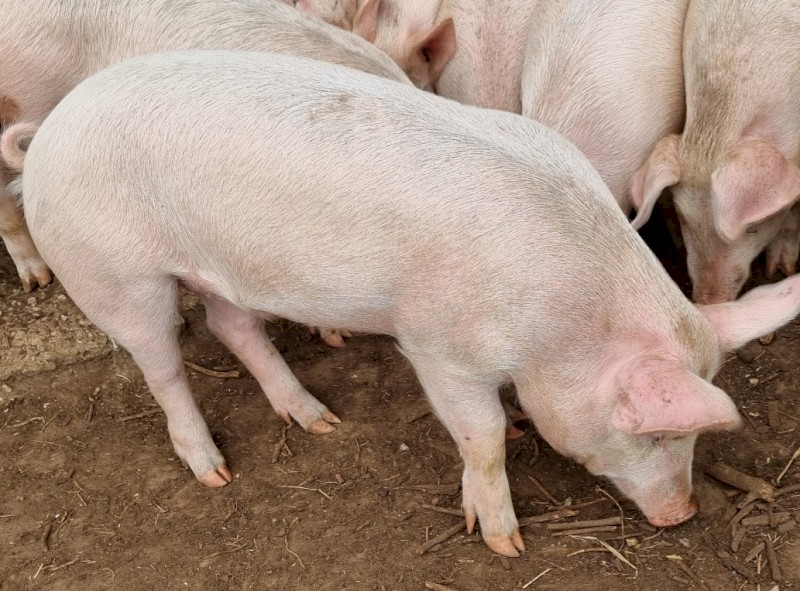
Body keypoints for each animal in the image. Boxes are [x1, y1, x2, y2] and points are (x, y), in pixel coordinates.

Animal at [19, 50, 800, 557]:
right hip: (113, 273)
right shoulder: (438, 345)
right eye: (658, 433)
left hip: (221, 268)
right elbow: (482, 433)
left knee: (231, 322)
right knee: (163, 364)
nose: (682, 514)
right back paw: (214, 470)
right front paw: (505, 543)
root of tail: (49, 130)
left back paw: (318, 420)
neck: (561, 319)